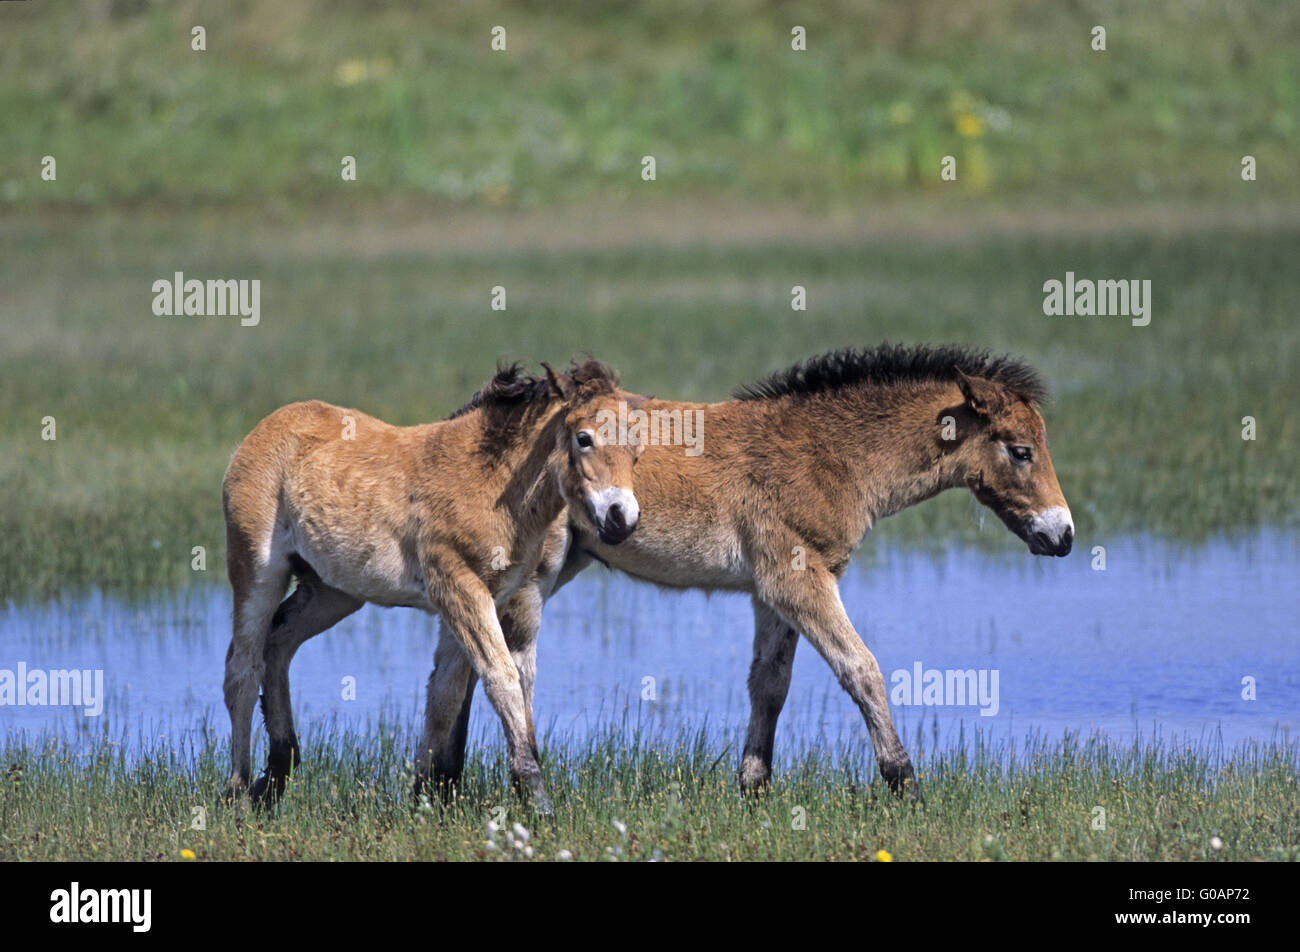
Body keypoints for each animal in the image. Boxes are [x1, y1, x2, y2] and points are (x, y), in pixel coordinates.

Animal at [220, 359, 643, 812]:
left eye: (638, 448)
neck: (489, 482)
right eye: (584, 439)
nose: (621, 518)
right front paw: (537, 800)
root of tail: (263, 429)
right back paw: (239, 791)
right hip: (257, 570)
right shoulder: (459, 587)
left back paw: (276, 775)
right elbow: (502, 678)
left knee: (279, 643)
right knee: (241, 670)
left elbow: (446, 694)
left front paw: (425, 797)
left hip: (333, 592)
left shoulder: (487, 596)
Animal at [420, 343, 1073, 801]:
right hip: (532, 580)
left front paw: (753, 788)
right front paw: (904, 784)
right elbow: (861, 669)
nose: (1063, 536)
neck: (830, 454)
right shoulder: (801, 581)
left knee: (454, 671)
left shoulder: (771, 593)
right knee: (501, 671)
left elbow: (770, 686)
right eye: (1020, 450)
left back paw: (440, 788)